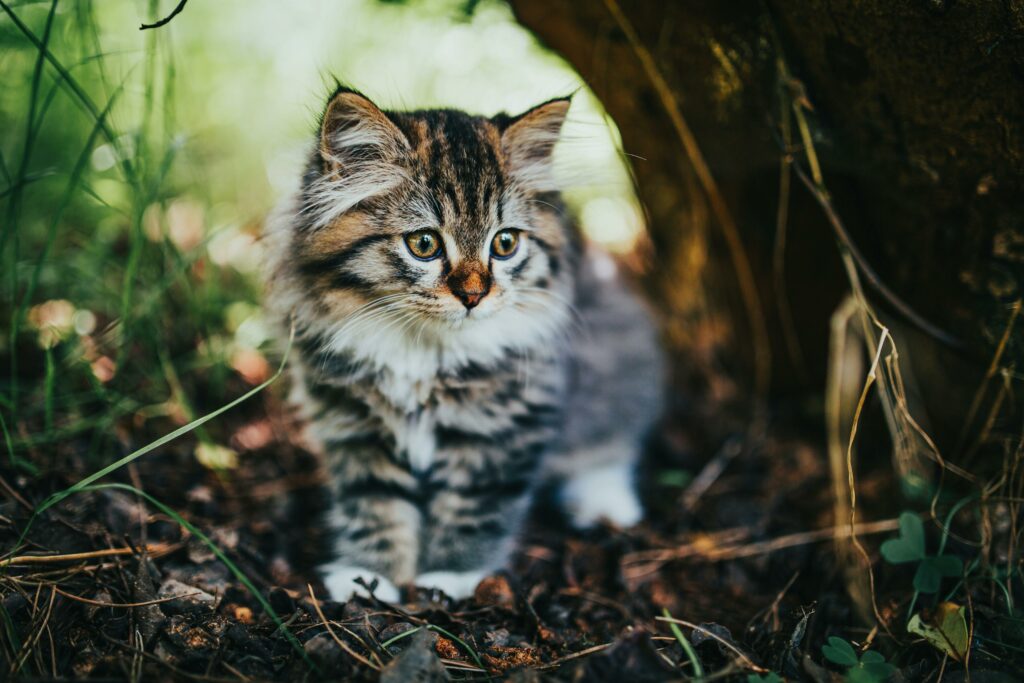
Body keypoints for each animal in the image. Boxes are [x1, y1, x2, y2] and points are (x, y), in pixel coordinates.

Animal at [264, 83, 663, 598]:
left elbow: (471, 510)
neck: (423, 355)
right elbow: (373, 505)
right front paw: (369, 577)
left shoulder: (502, 432)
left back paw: (604, 501)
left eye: (505, 244)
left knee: (612, 442)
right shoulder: (354, 429)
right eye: (424, 244)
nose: (473, 296)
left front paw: (449, 576)